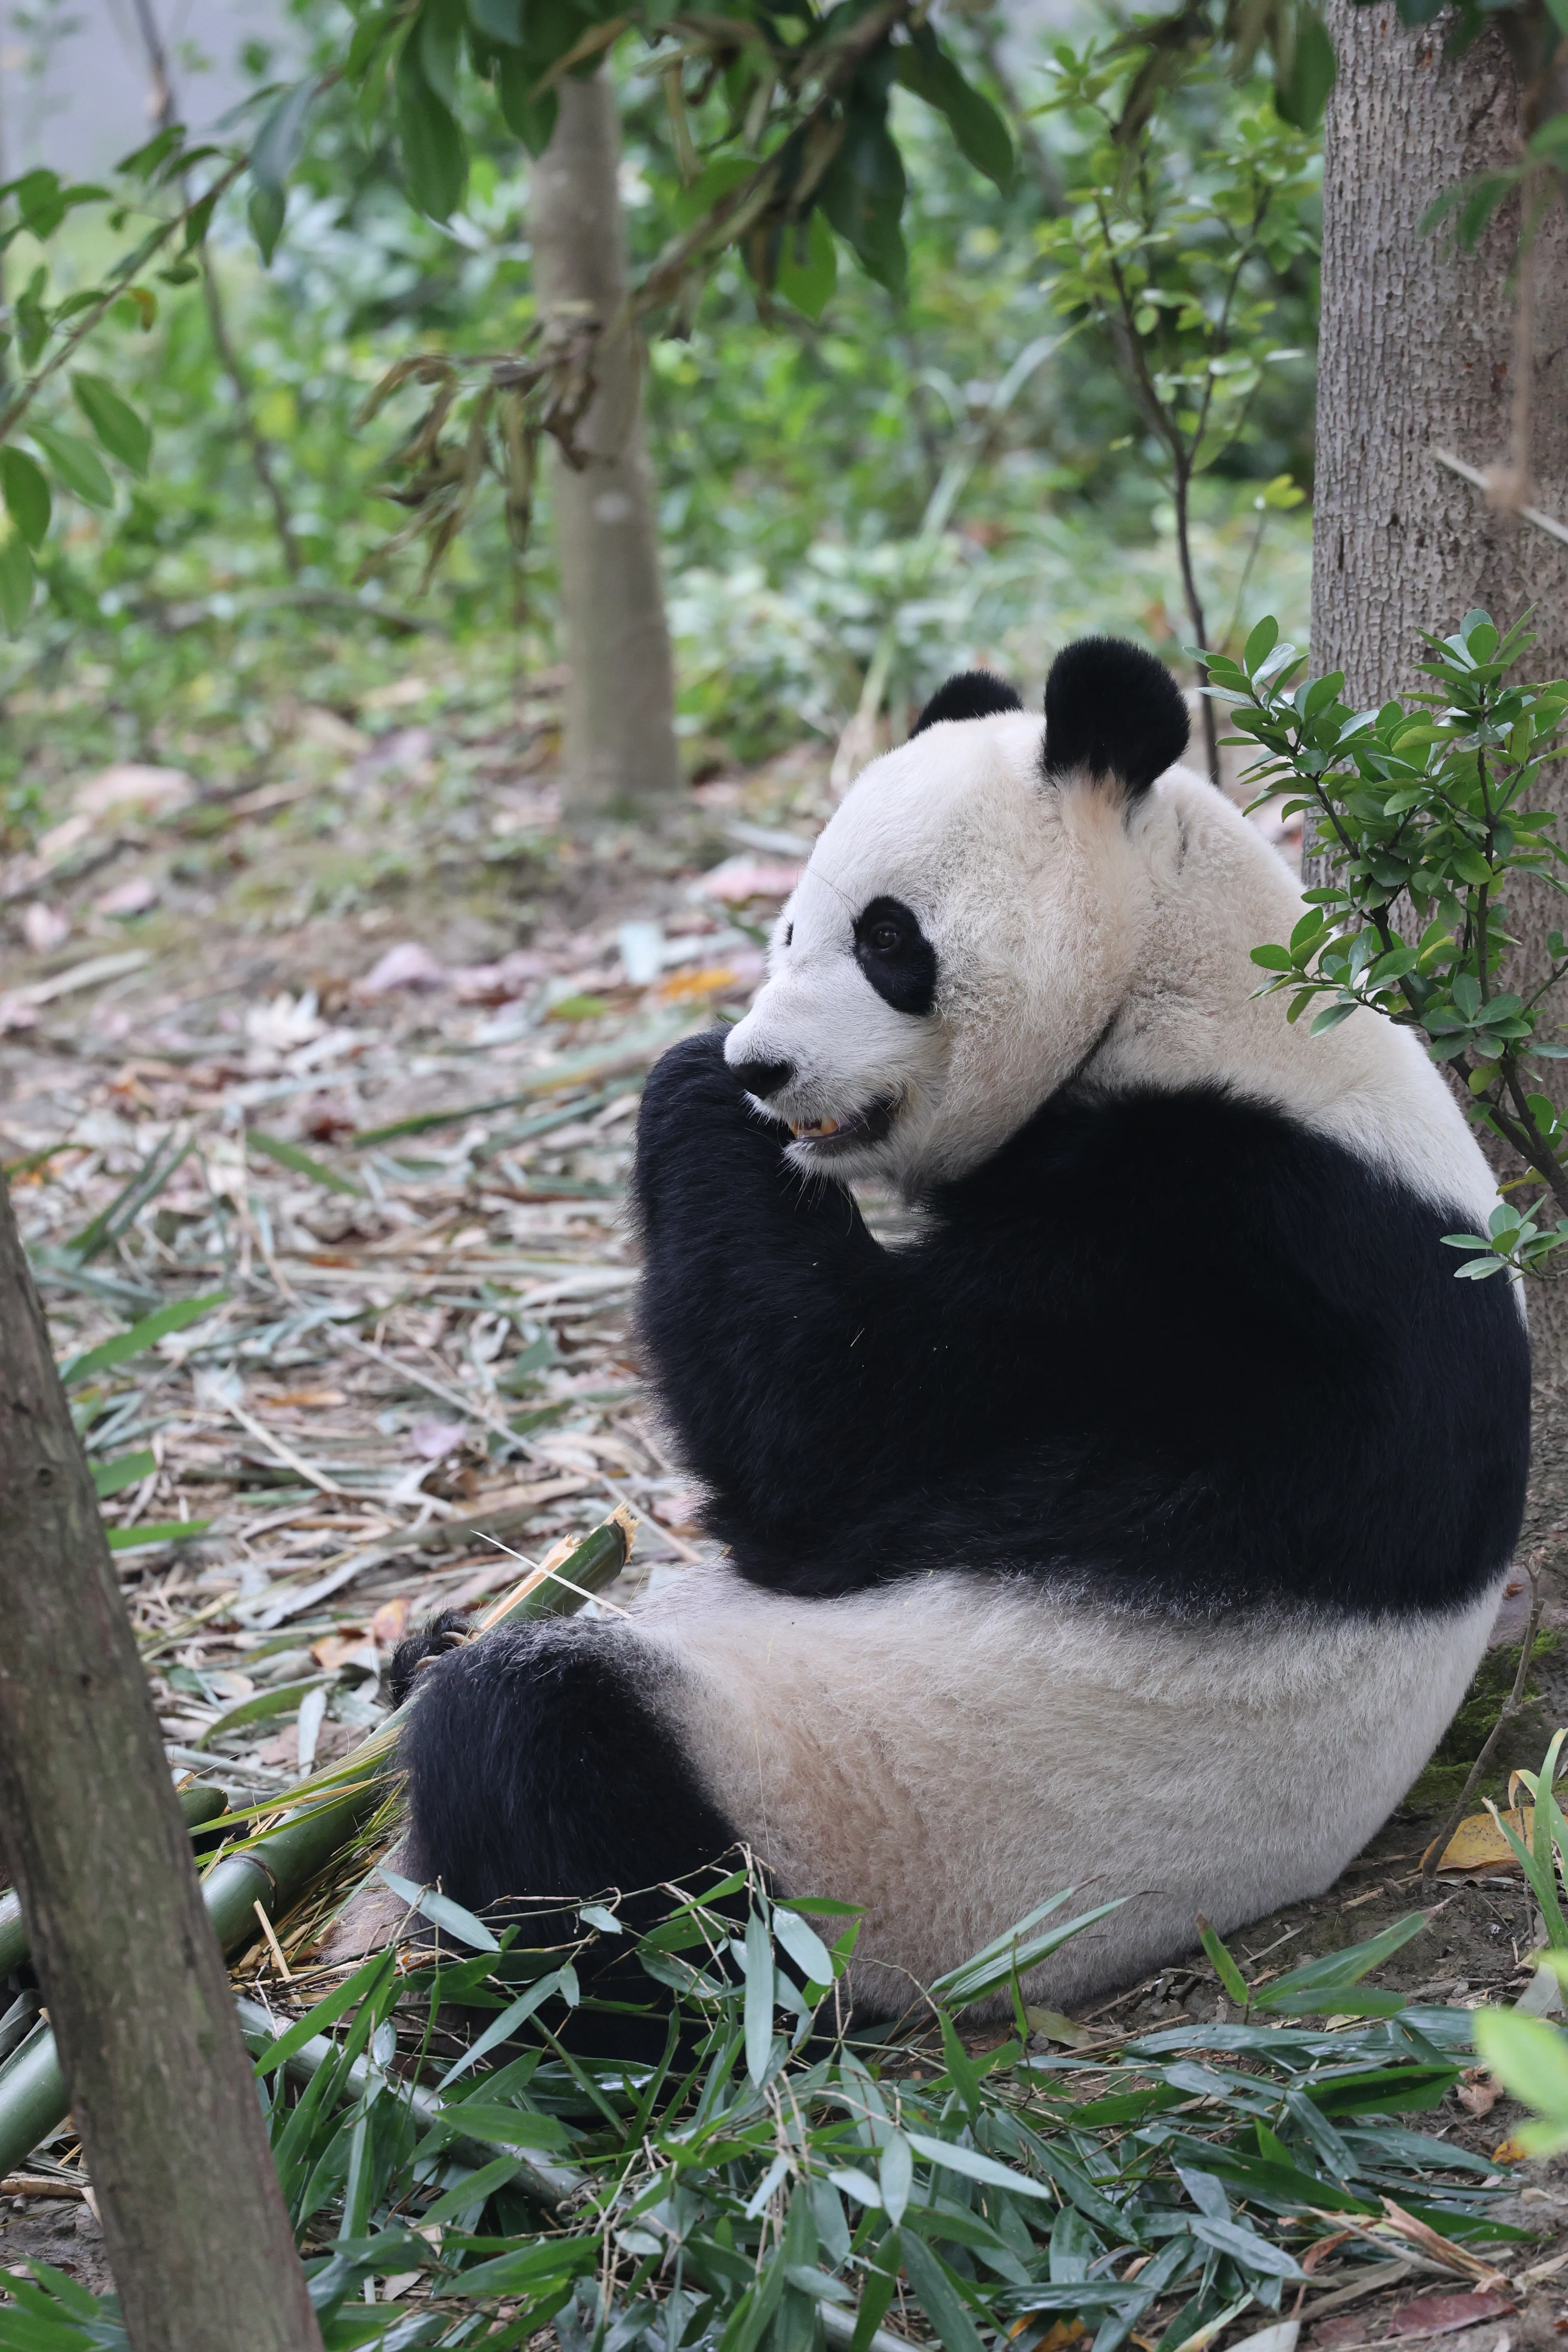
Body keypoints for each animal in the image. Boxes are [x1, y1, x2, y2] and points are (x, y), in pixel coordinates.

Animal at [393, 635, 1530, 2020]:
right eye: (788, 924)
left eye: (888, 937)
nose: (765, 1063)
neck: (1190, 982)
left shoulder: (1223, 1247)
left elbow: (832, 1443)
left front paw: (694, 1078)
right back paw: (432, 1649)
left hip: (840, 1845)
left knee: (567, 1780)